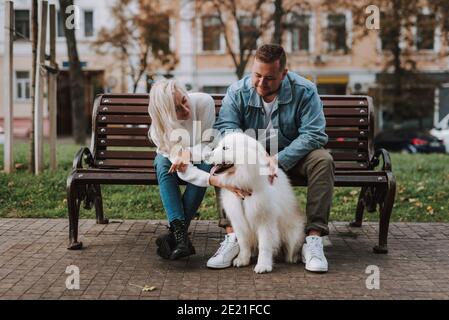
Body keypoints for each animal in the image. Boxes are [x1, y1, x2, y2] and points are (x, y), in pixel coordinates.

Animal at [206, 132, 304, 272]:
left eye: (225, 148)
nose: (205, 155)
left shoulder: (265, 220)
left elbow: (264, 245)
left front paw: (263, 265)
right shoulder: (238, 220)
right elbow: (243, 243)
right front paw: (242, 260)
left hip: (294, 234)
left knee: (291, 249)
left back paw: (293, 257)